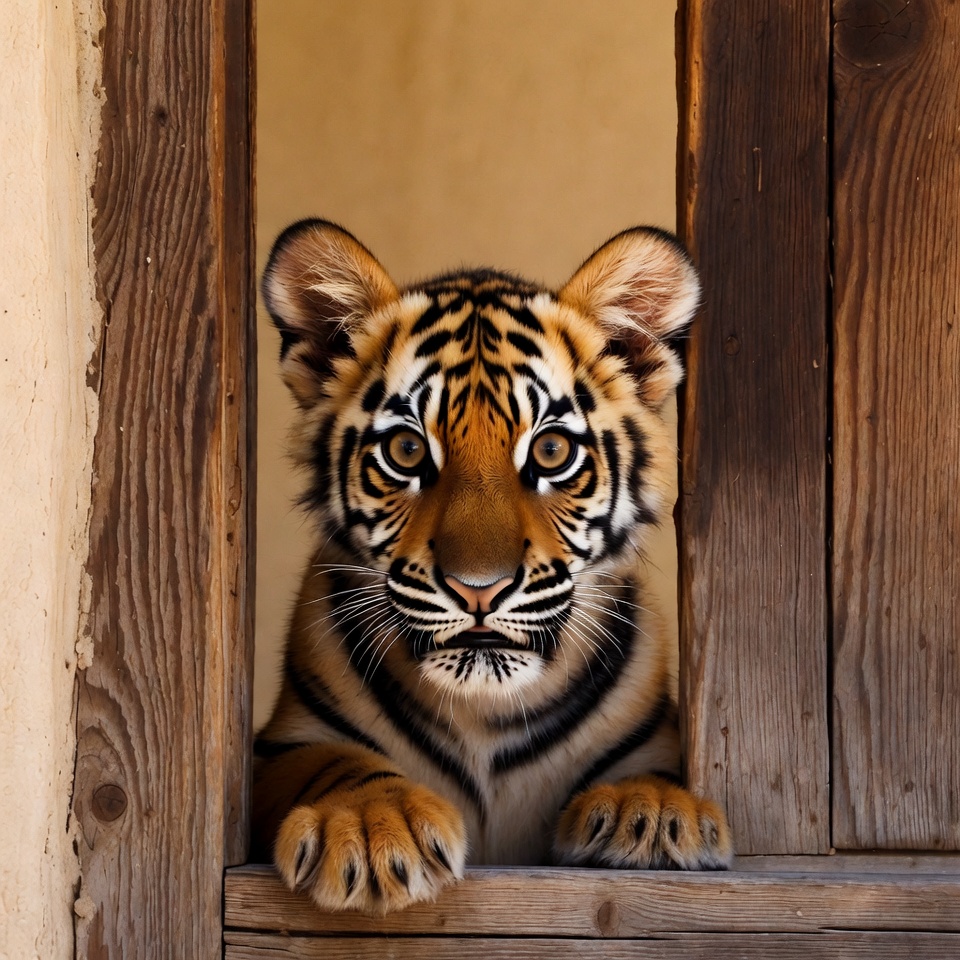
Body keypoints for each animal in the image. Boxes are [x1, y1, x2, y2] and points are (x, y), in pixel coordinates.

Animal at [252, 219, 732, 915]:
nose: (479, 589)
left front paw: (653, 813)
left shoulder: (654, 735)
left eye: (552, 450)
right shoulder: (283, 745)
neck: (483, 713)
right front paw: (372, 828)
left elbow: (649, 769)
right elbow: (333, 762)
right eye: (406, 450)